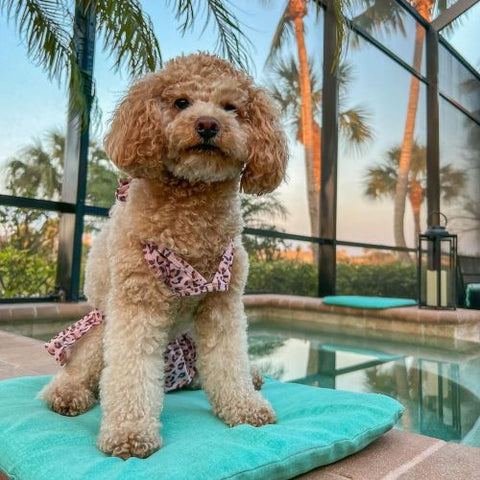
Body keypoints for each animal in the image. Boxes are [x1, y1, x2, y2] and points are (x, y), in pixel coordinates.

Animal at [40, 51, 284, 458]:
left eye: (231, 107)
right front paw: (129, 433)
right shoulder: (137, 303)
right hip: (100, 331)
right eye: (181, 102)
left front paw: (245, 406)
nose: (208, 125)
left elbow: (229, 360)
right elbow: (131, 372)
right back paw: (66, 393)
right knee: (79, 371)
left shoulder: (223, 305)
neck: (191, 211)